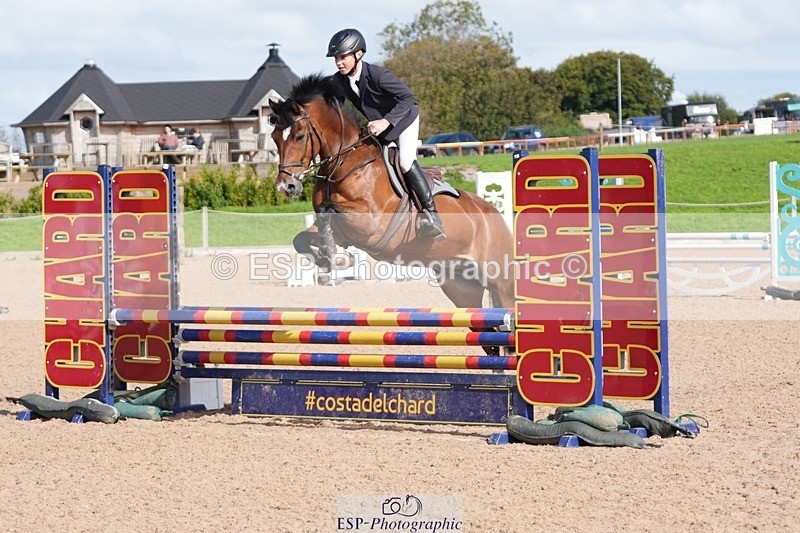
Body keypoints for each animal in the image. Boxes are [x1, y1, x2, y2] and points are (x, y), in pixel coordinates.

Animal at [268, 74, 515, 319]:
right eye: (275, 137)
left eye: (300, 137)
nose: (285, 187)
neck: (345, 162)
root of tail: (493, 213)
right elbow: (302, 238)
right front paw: (329, 258)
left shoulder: (369, 224)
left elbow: (329, 211)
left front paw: (337, 257)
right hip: (460, 286)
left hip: (501, 282)